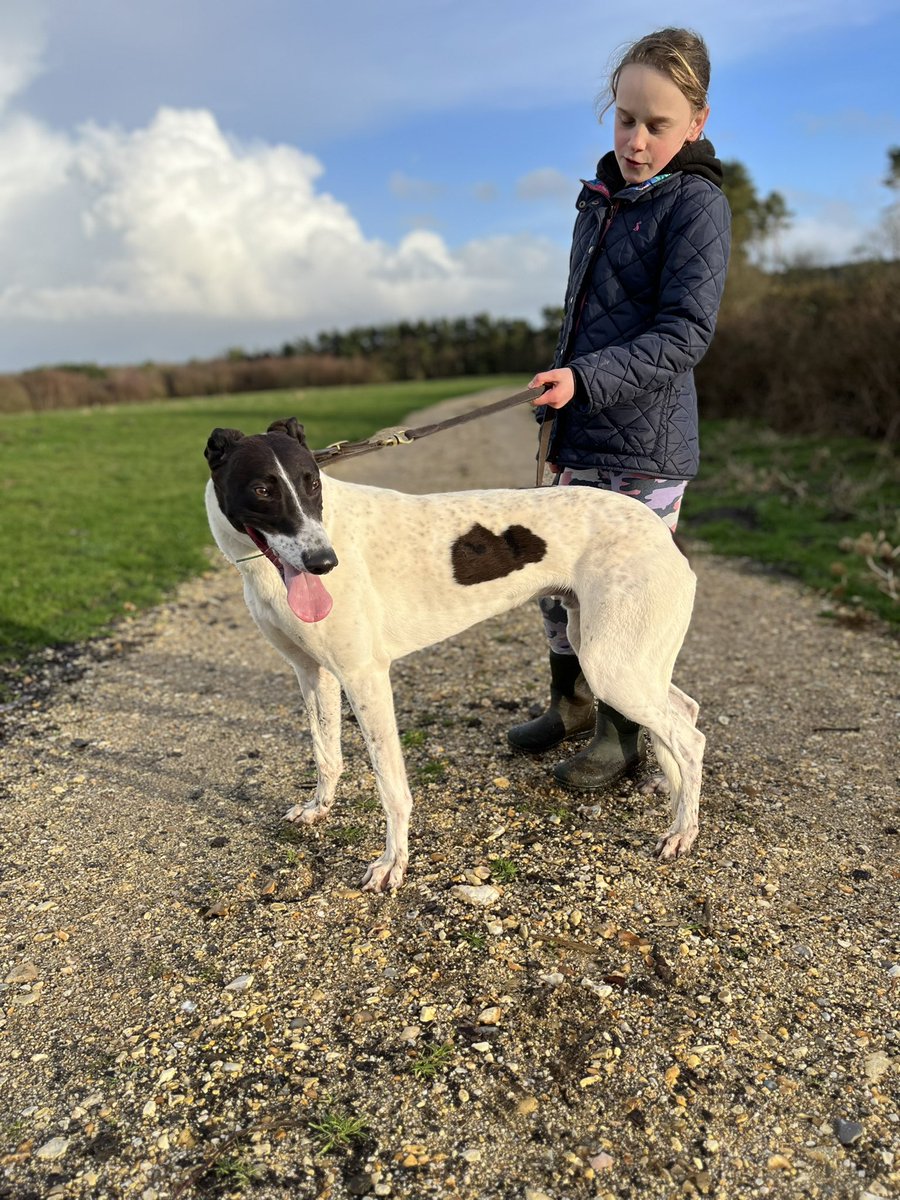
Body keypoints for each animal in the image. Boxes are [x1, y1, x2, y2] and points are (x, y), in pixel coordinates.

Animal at [204, 417, 705, 888]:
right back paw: (672, 788)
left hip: (611, 665)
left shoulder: (366, 676)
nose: (323, 563)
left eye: (312, 481)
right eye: (262, 489)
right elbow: (326, 753)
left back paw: (683, 831)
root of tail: (661, 531)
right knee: (684, 709)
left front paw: (392, 863)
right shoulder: (313, 673)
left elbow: (390, 784)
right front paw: (318, 808)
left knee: (690, 738)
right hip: (614, 653)